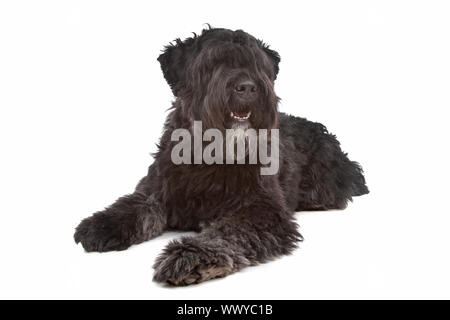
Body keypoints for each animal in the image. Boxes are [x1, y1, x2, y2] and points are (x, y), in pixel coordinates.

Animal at [74, 26, 370, 284]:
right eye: (214, 62)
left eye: (257, 64)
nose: (247, 87)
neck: (210, 157)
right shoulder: (156, 189)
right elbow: (135, 205)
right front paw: (103, 224)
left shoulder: (262, 209)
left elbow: (229, 231)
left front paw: (192, 256)